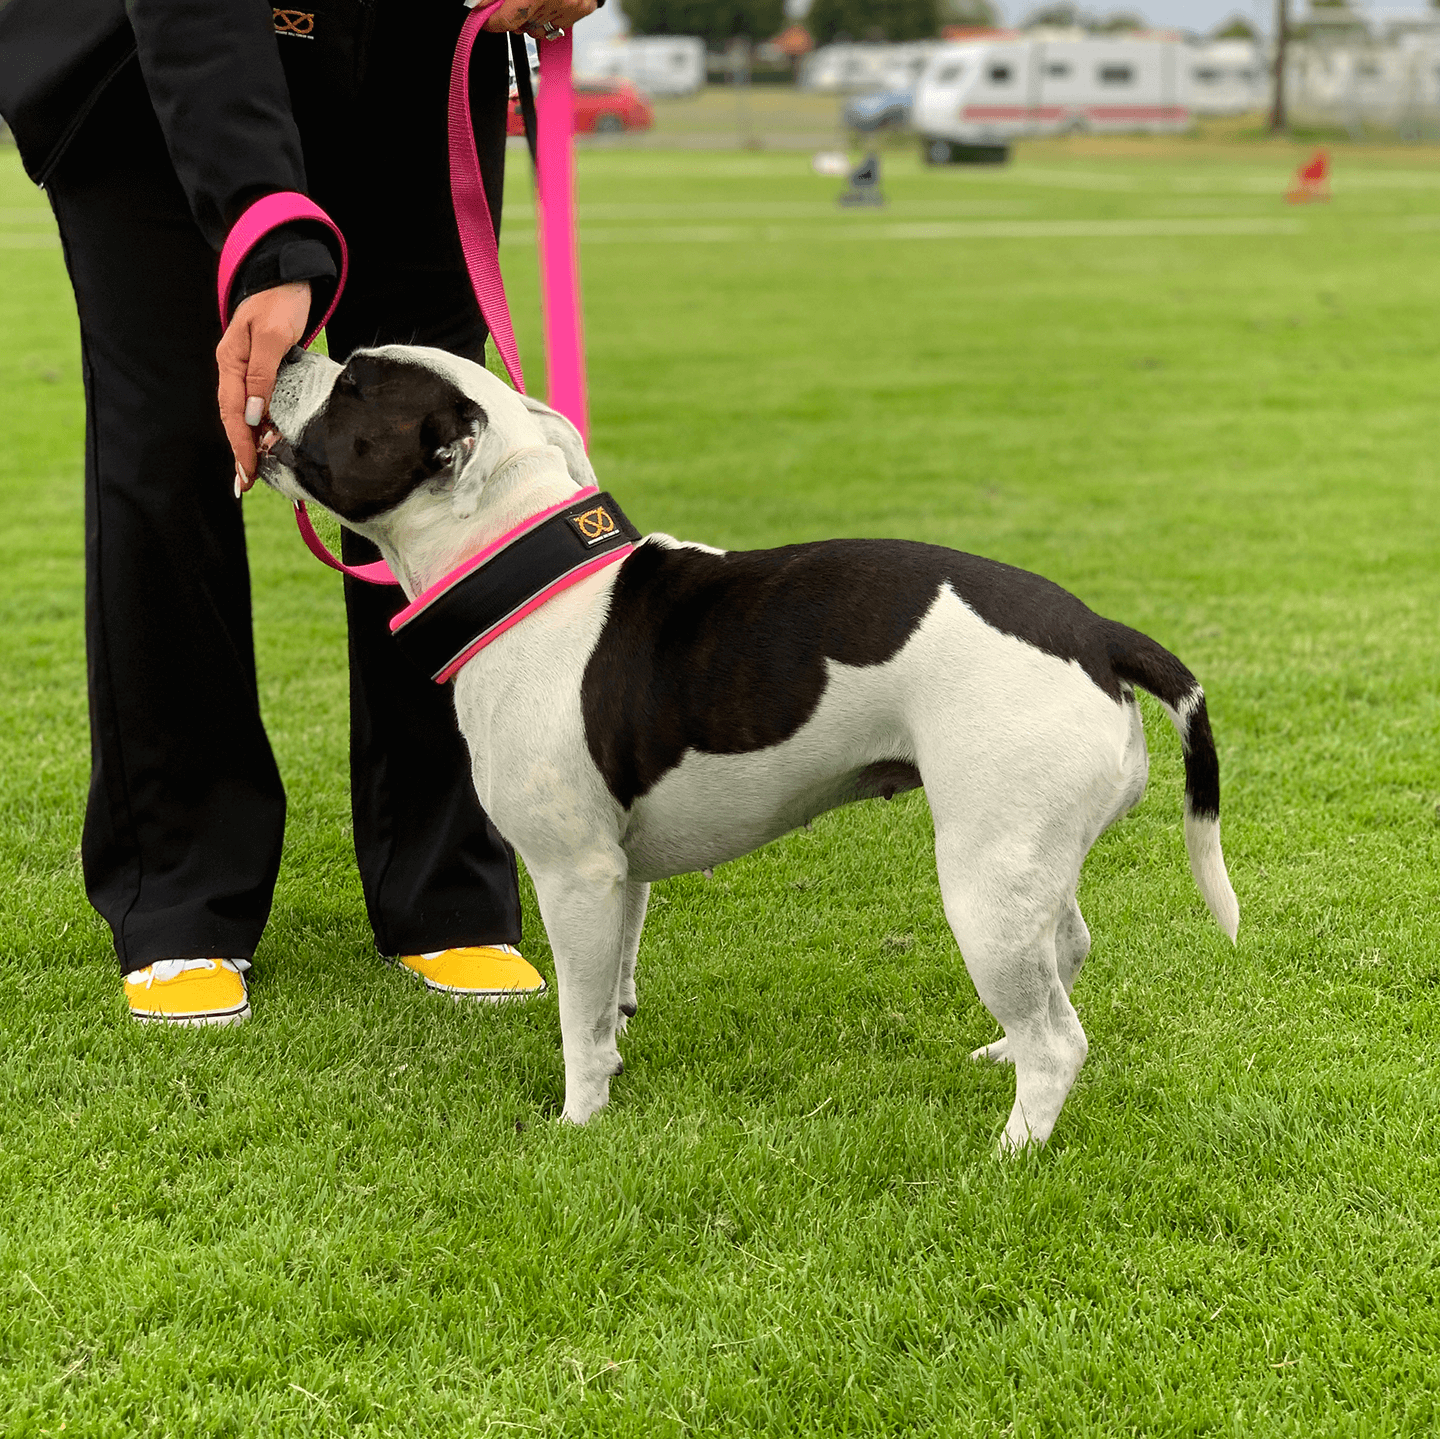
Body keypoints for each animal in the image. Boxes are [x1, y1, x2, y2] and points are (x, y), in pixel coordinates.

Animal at [264, 342, 1244, 1152]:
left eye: (354, 384)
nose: (287, 351)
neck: (524, 579)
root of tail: (1095, 632)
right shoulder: (619, 875)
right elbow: (610, 997)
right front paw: (612, 1069)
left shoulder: (573, 874)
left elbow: (578, 1018)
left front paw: (579, 1120)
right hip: (1023, 861)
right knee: (1063, 953)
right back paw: (1003, 1051)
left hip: (982, 887)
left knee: (1060, 1040)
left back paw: (1012, 1149)